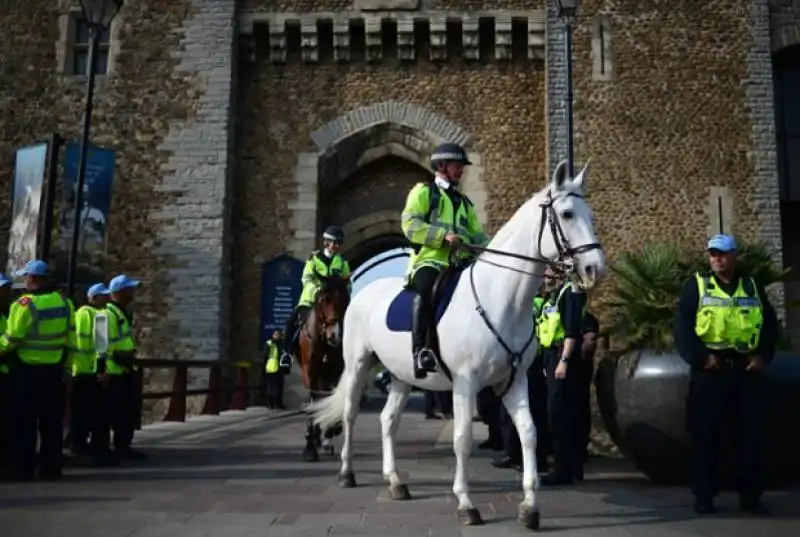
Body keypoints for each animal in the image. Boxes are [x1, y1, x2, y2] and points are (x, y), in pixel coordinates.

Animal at [290, 272, 346, 460]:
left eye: (345, 299)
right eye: (322, 299)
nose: (335, 335)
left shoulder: (336, 369)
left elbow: (331, 396)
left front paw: (332, 430)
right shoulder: (310, 370)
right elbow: (313, 400)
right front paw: (309, 446)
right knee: (316, 398)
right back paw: (315, 437)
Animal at [310, 159, 604, 528]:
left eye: (590, 213)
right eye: (566, 214)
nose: (595, 268)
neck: (501, 299)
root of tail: (366, 291)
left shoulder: (515, 380)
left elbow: (529, 433)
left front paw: (529, 507)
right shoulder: (466, 382)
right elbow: (462, 438)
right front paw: (465, 503)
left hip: (402, 376)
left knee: (388, 420)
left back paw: (395, 482)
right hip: (357, 364)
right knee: (349, 414)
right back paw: (347, 473)